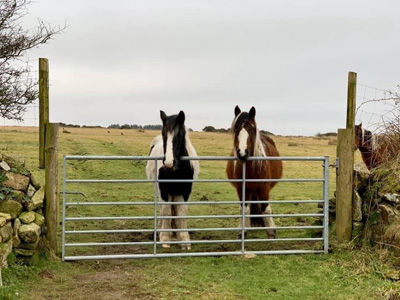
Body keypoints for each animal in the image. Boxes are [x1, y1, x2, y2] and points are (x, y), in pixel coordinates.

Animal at [145, 111, 199, 250]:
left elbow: (181, 213)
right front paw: (165, 238)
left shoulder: (185, 192)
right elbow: (166, 212)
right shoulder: (164, 191)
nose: (169, 164)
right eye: (164, 134)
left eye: (179, 134)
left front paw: (184, 240)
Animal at [227, 105, 282, 239]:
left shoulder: (264, 188)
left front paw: (271, 232)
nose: (242, 152)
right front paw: (242, 231)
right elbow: (244, 210)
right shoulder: (242, 189)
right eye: (236, 128)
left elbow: (265, 208)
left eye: (252, 129)